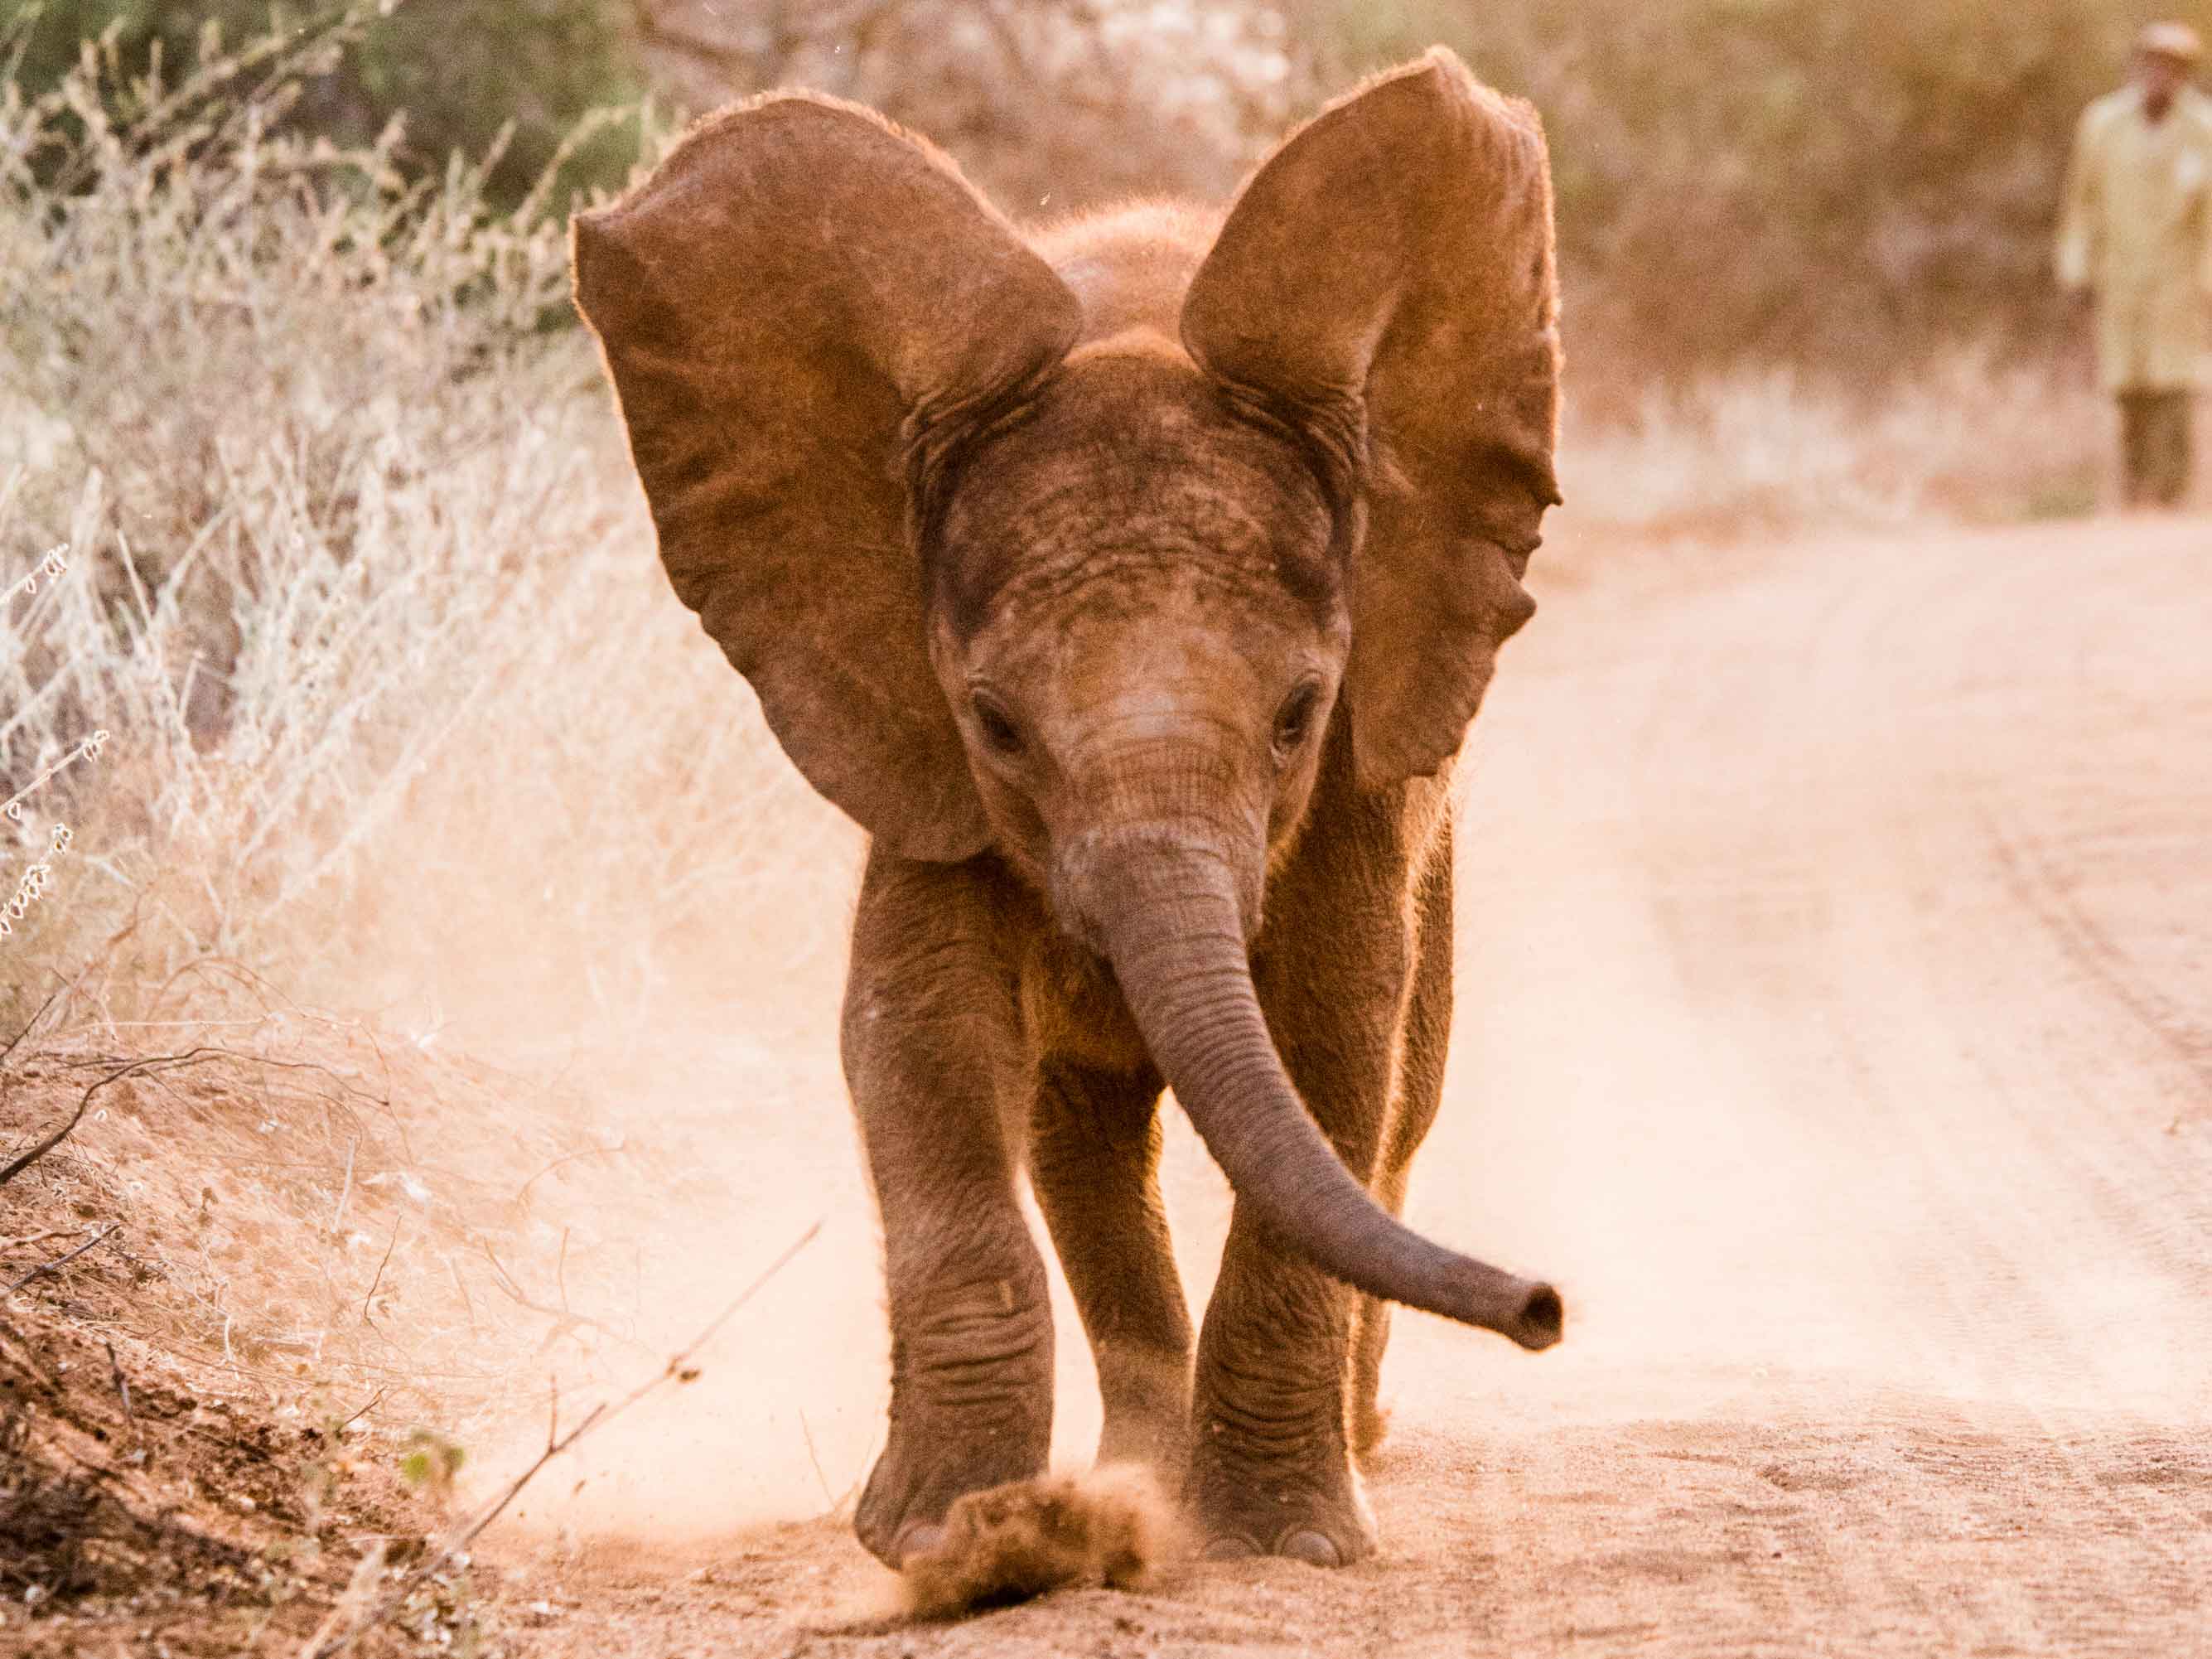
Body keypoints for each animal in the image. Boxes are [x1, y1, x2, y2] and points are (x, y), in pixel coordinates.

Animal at [579, 48, 1566, 1574]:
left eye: (1299, 713)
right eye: (995, 722)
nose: (1543, 1308)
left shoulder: (1363, 776)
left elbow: (1336, 1036)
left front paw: (1288, 1540)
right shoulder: (922, 760)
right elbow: (916, 1033)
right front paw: (940, 1535)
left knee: (1400, 1102)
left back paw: (1335, 1442)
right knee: (1082, 1133)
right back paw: (1136, 1468)